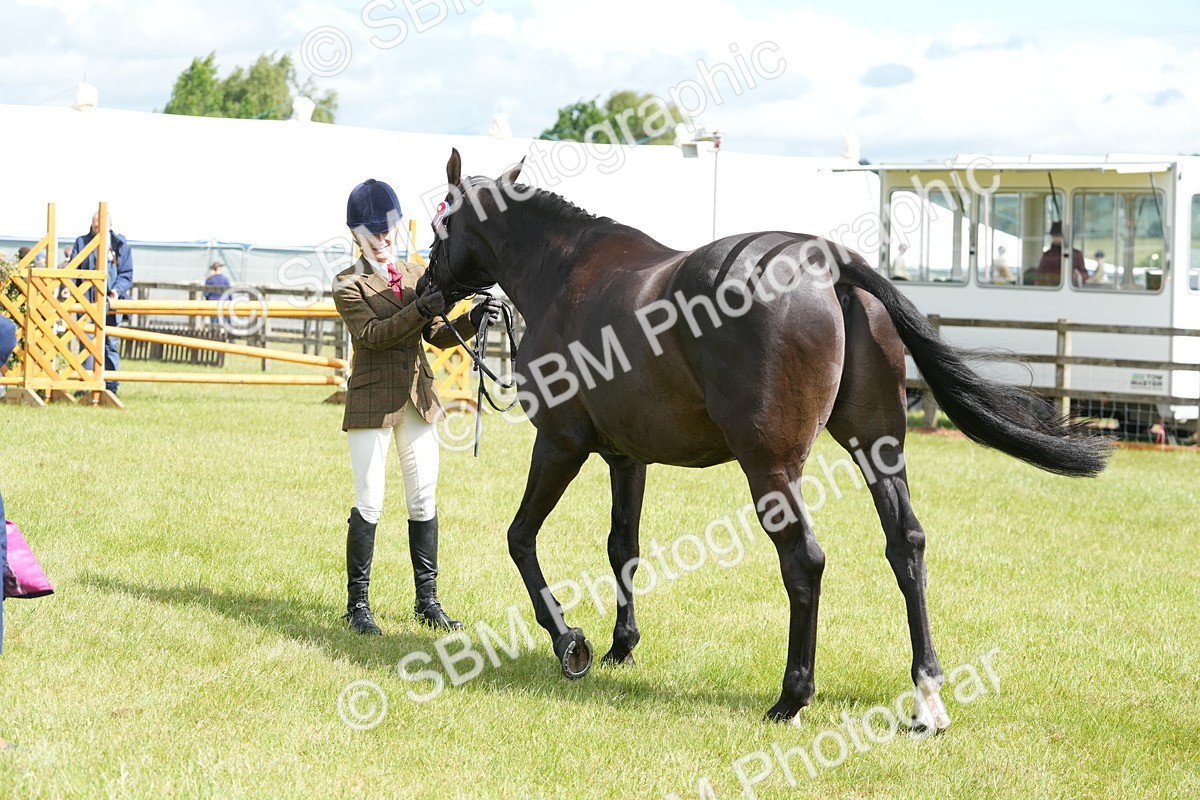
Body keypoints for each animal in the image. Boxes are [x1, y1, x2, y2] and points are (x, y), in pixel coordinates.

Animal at [425, 148, 1111, 727]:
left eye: (437, 230)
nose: (427, 291)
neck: (568, 272)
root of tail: (827, 261)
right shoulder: (627, 457)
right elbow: (624, 547)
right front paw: (622, 645)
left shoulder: (560, 444)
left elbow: (521, 538)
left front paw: (568, 640)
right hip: (877, 450)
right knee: (906, 546)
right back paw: (926, 694)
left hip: (770, 468)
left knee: (804, 560)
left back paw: (792, 696)